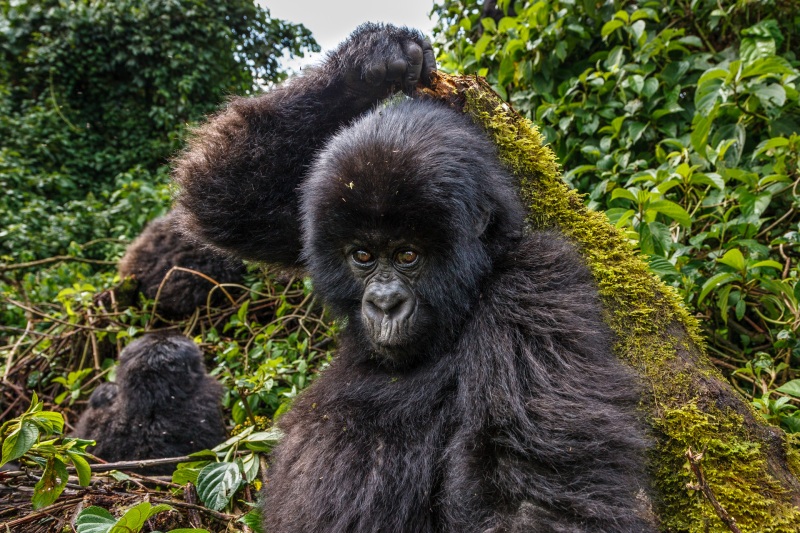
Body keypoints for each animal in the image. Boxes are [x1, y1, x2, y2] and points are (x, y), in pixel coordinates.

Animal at [172, 22, 652, 528]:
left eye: (407, 256)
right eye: (362, 255)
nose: (384, 303)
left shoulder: (536, 281)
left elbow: (531, 497)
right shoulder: (309, 209)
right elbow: (227, 198)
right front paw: (369, 62)